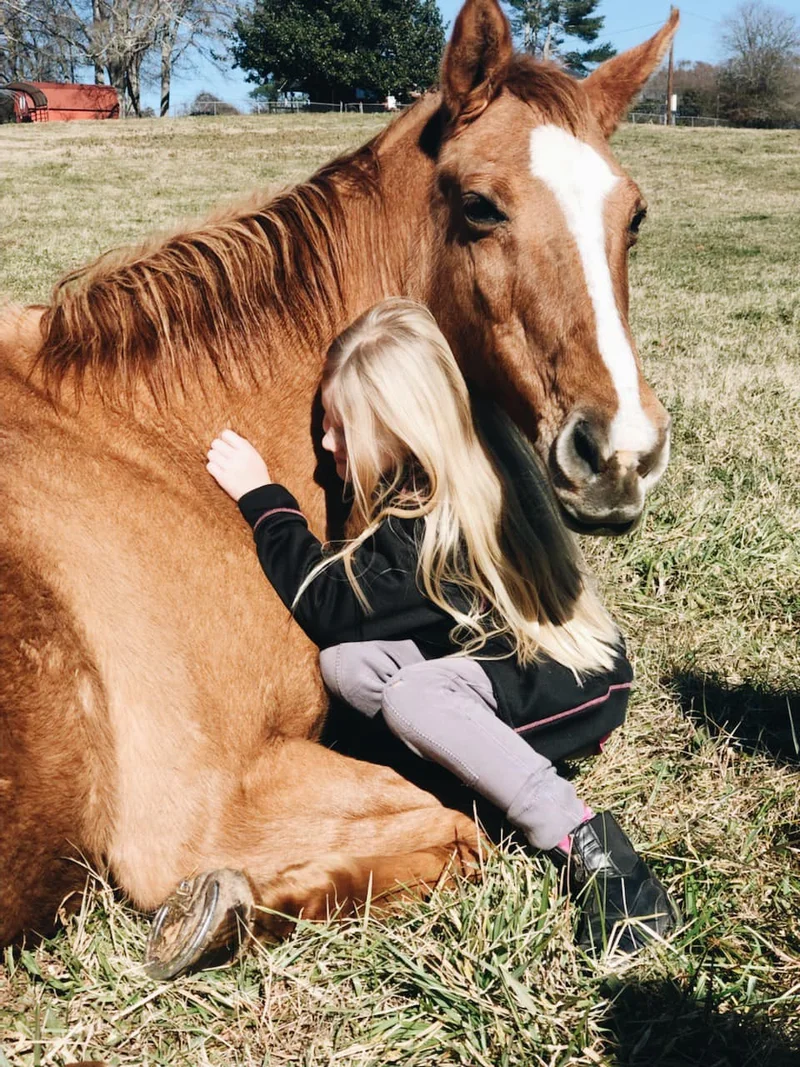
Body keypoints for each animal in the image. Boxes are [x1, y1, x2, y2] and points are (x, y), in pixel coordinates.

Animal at [0, 0, 678, 976]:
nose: (622, 451)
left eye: (634, 218)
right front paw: (227, 910)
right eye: (479, 206)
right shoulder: (204, 808)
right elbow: (453, 834)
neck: (145, 444)